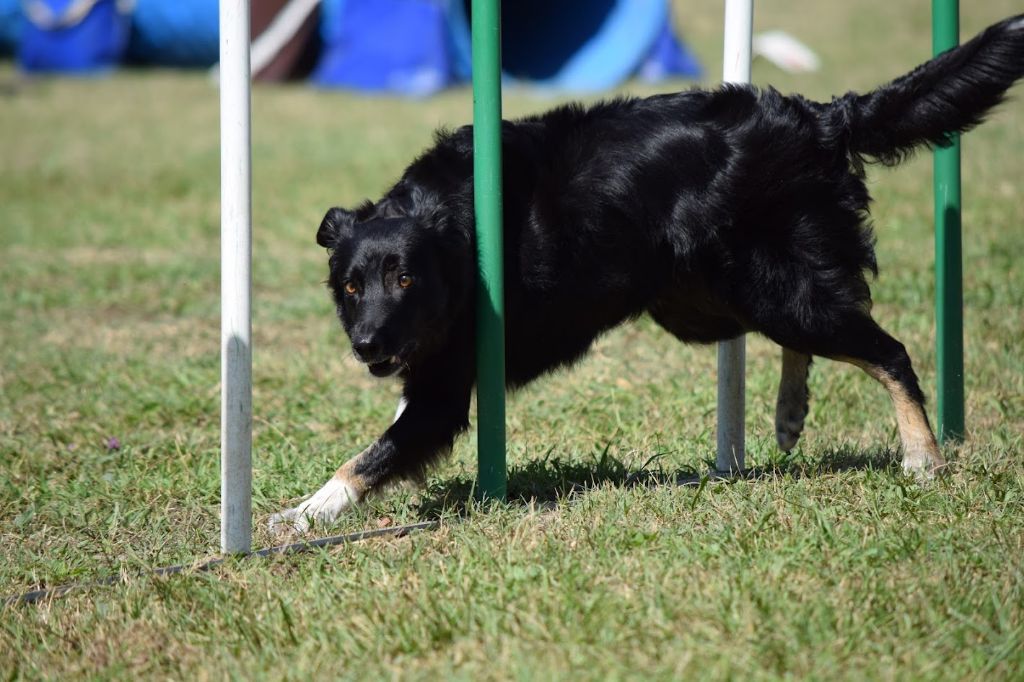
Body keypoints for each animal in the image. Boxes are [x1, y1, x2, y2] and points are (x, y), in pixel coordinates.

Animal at [272, 13, 1024, 528]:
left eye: (406, 280)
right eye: (351, 286)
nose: (367, 344)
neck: (453, 228)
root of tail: (823, 116)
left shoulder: (445, 389)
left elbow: (371, 453)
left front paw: (307, 512)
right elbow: (389, 437)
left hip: (770, 288)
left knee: (885, 349)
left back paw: (923, 457)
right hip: (709, 299)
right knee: (824, 333)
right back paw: (789, 413)